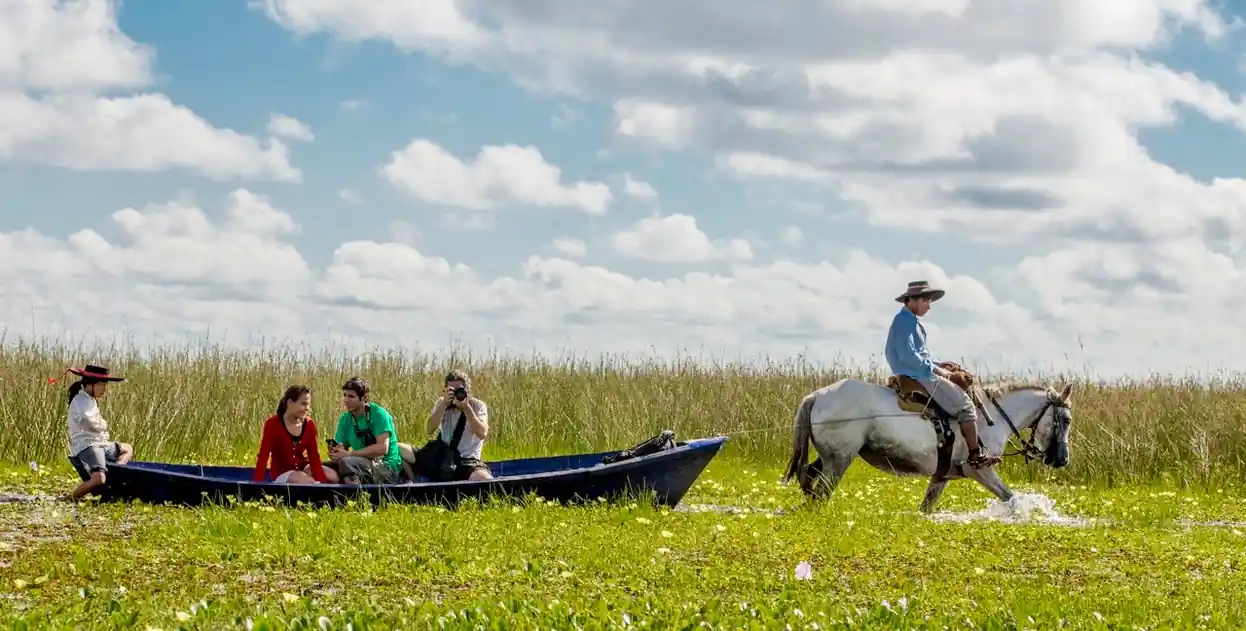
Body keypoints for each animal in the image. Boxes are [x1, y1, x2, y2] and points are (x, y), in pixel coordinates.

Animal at [782, 374, 1076, 513]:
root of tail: (817, 395)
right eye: (1067, 419)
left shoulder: (942, 475)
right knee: (821, 492)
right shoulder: (981, 470)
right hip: (839, 460)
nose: (1062, 460)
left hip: (830, 458)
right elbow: (1011, 499)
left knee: (809, 478)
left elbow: (926, 507)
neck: (989, 418)